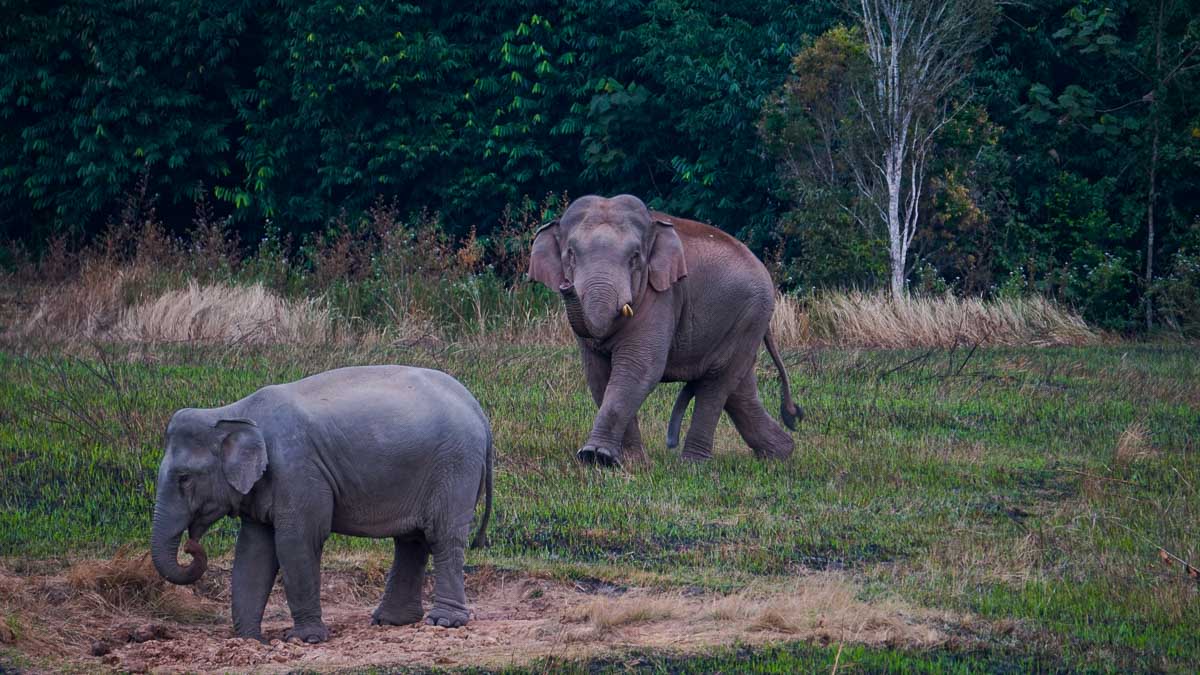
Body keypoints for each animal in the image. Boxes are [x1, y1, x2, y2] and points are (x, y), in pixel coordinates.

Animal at [148, 365, 492, 638]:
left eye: (184, 478)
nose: (191, 546)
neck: (231, 413)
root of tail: (476, 407)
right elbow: (253, 551)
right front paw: (250, 640)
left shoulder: (297, 470)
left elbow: (296, 541)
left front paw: (304, 639)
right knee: (412, 540)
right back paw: (391, 622)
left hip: (455, 464)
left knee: (442, 535)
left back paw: (444, 622)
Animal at [528, 190, 796, 461]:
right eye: (571, 253)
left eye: (635, 257)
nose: (565, 286)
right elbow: (598, 372)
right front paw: (630, 461)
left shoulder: (663, 295)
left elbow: (639, 366)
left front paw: (598, 455)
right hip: (744, 323)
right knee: (739, 390)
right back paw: (779, 455)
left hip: (750, 316)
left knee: (716, 384)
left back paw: (693, 463)